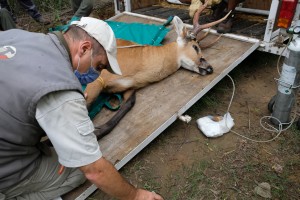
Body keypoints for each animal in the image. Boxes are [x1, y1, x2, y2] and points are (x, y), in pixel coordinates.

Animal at [85, 0, 231, 139]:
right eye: (195, 47)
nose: (210, 68)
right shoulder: (95, 82)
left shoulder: (128, 87)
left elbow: (128, 104)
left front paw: (98, 131)